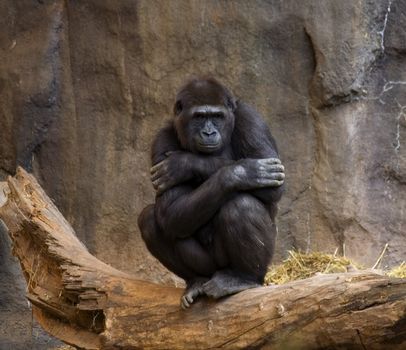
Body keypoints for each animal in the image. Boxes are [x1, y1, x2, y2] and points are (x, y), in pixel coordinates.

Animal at [138, 78, 284, 308]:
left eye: (217, 116)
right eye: (199, 117)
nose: (208, 133)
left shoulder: (250, 118)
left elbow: (272, 187)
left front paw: (184, 163)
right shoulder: (162, 138)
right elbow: (170, 211)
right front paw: (241, 172)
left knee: (241, 205)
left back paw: (243, 278)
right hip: (210, 267)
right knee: (150, 220)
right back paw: (197, 281)